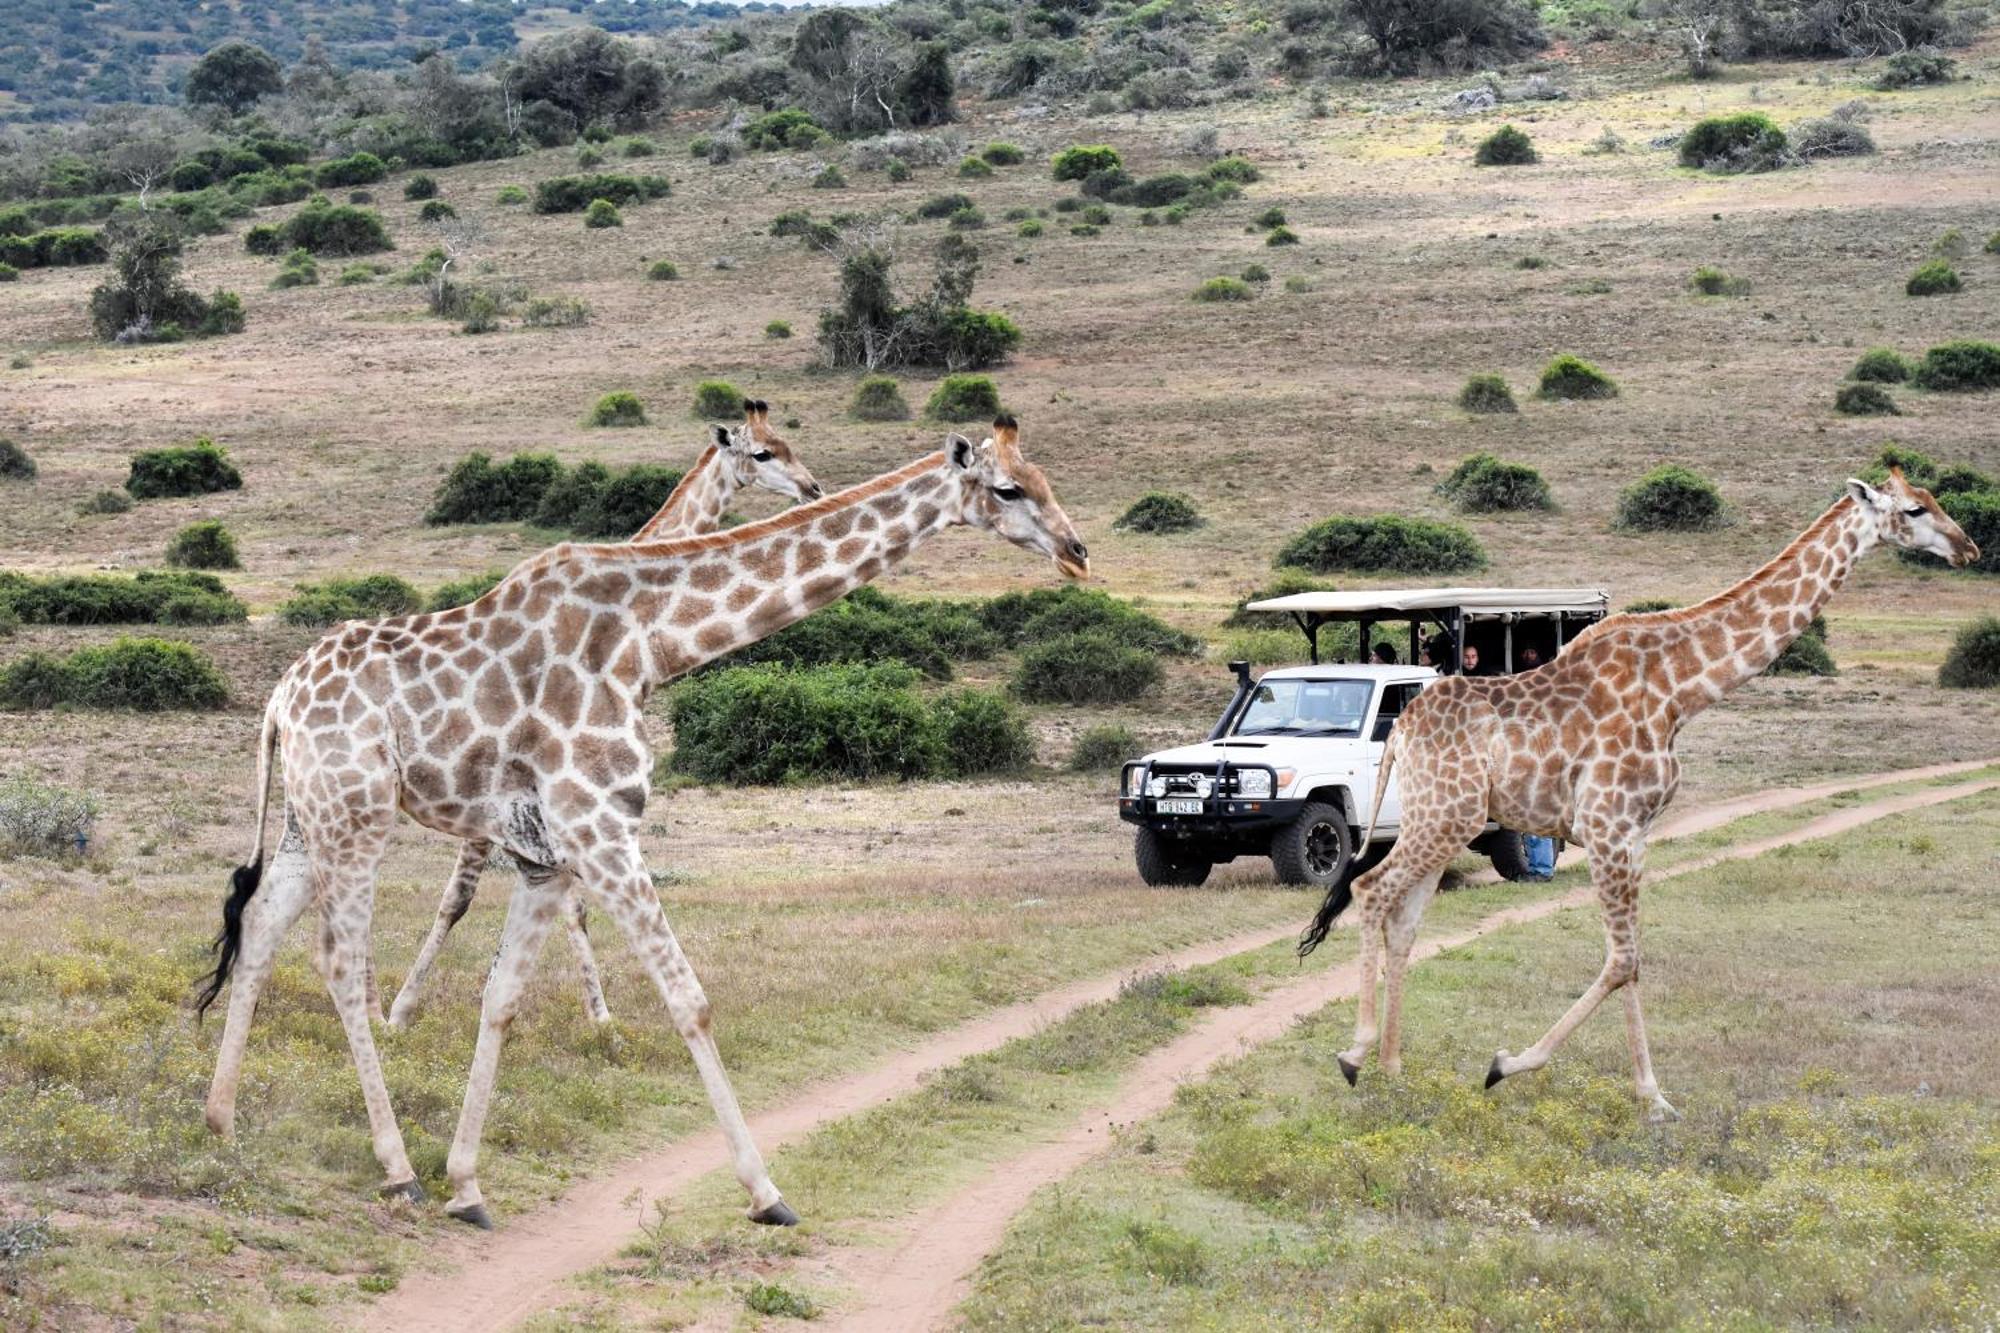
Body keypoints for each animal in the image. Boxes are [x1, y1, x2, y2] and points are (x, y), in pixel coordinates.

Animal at [1296, 466, 1968, 1112]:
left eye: (1936, 500)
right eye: (1915, 509)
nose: (1968, 546)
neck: (1681, 690)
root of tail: (1402, 727)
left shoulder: (1636, 832)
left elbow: (1634, 960)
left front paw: (1653, 1096)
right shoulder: (1607, 825)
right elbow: (1622, 959)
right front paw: (1510, 1065)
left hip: (1439, 819)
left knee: (1404, 920)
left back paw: (1393, 1070)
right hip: (1444, 817)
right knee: (1370, 891)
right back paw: (1355, 1056)